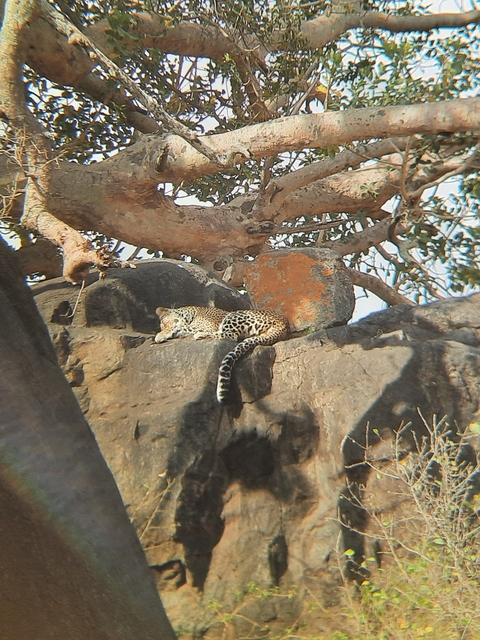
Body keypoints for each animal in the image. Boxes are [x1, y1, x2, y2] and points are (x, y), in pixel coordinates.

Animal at [154, 306, 289, 403]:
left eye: (164, 323)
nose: (163, 328)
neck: (191, 313)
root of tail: (284, 326)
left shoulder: (205, 325)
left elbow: (181, 327)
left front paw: (160, 335)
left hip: (235, 315)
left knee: (230, 335)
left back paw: (200, 335)